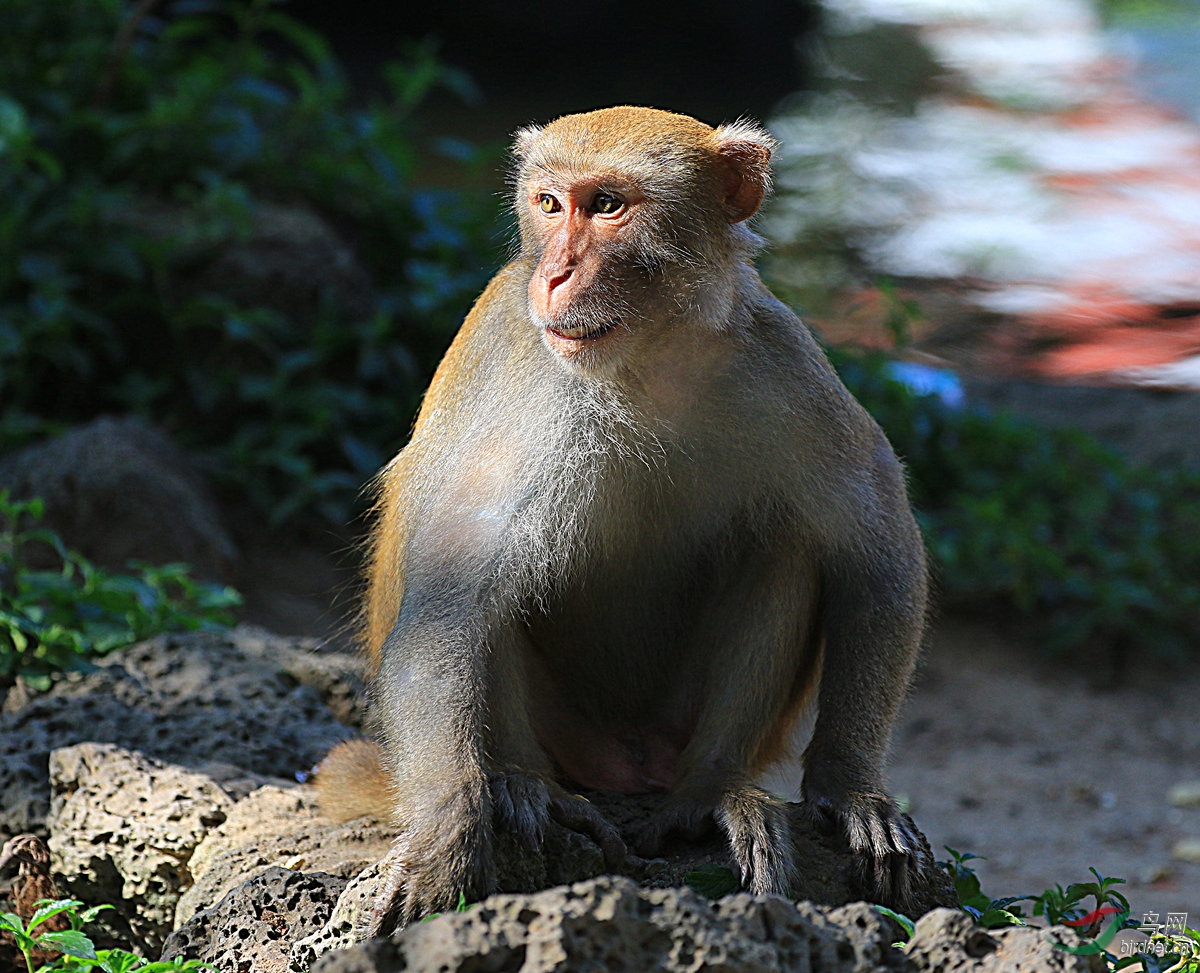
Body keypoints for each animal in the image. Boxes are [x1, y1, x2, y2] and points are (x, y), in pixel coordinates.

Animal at [316, 106, 926, 935]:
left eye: (607, 205)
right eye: (548, 205)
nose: (554, 274)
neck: (647, 360)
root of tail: (624, 766)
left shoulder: (783, 360)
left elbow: (877, 550)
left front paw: (850, 786)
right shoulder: (527, 401)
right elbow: (449, 600)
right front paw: (449, 821)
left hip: (671, 729)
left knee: (786, 544)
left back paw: (708, 788)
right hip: (569, 733)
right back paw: (524, 784)